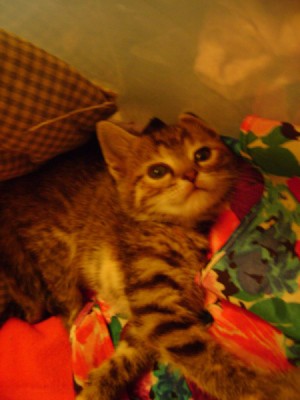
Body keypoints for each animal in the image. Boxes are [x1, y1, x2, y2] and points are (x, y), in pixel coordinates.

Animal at [0, 113, 298, 400]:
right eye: (158, 171)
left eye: (202, 154)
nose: (191, 173)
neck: (177, 227)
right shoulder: (155, 296)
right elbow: (204, 358)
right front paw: (267, 389)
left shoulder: (153, 315)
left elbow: (129, 354)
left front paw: (97, 388)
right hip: (54, 247)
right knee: (66, 302)